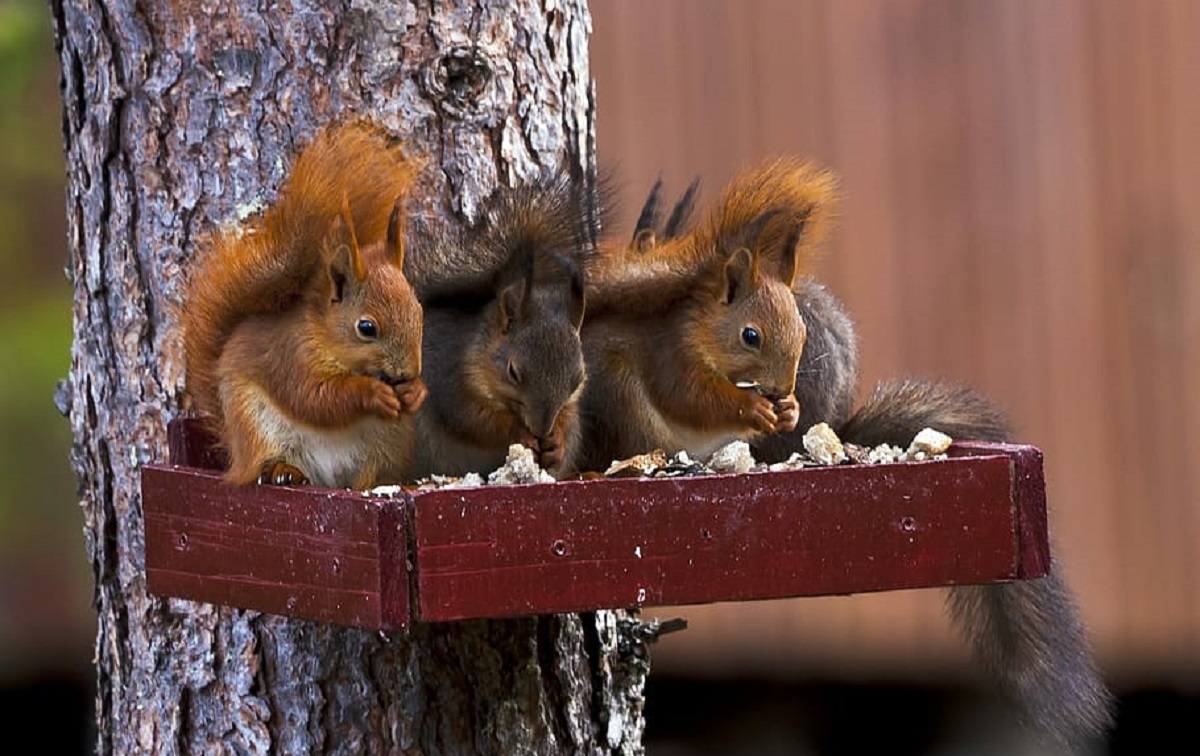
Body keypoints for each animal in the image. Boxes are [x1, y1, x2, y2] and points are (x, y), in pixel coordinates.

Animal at [181, 123, 427, 488]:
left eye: (419, 312)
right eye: (366, 328)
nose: (408, 373)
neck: (329, 341)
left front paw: (415, 392)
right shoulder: (291, 356)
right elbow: (315, 399)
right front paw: (371, 393)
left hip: (388, 443)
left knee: (371, 475)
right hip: (255, 426)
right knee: (266, 462)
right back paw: (284, 472)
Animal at [402, 174, 598, 479]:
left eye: (577, 379)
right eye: (513, 372)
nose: (542, 429)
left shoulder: (570, 406)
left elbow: (567, 420)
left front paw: (557, 442)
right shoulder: (449, 380)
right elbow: (476, 422)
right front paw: (520, 433)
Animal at [574, 158, 838, 472]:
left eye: (803, 331)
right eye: (750, 336)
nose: (782, 388)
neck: (705, 332)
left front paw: (791, 409)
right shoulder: (672, 353)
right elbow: (692, 399)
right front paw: (752, 407)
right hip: (618, 391)